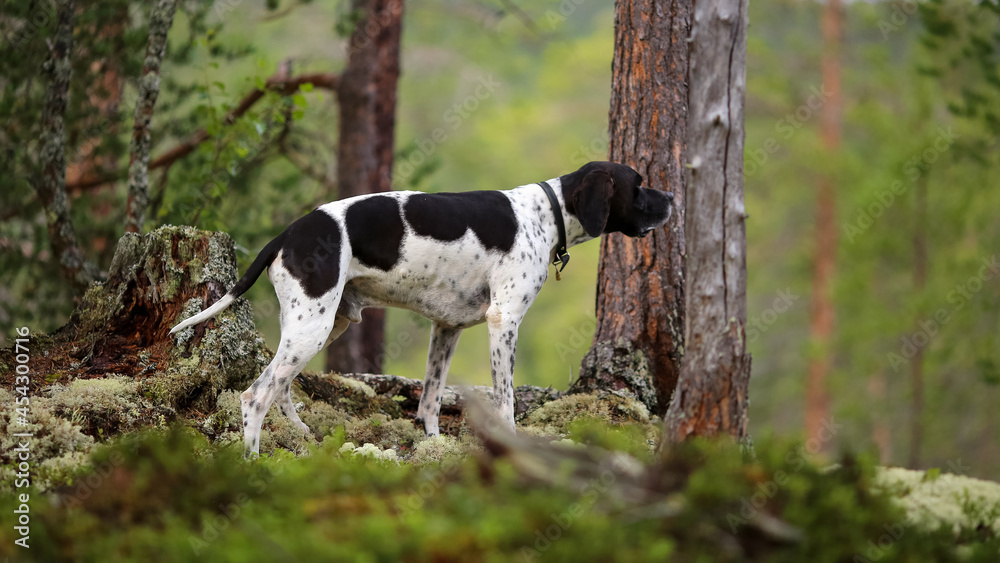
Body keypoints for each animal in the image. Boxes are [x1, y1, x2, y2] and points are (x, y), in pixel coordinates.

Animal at [170, 162, 672, 458]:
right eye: (639, 185)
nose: (671, 199)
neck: (545, 213)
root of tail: (289, 232)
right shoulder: (503, 321)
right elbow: (506, 400)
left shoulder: (446, 328)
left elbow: (430, 400)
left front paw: (434, 447)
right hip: (312, 327)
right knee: (255, 395)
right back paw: (253, 461)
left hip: (321, 325)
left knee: (281, 387)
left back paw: (299, 435)